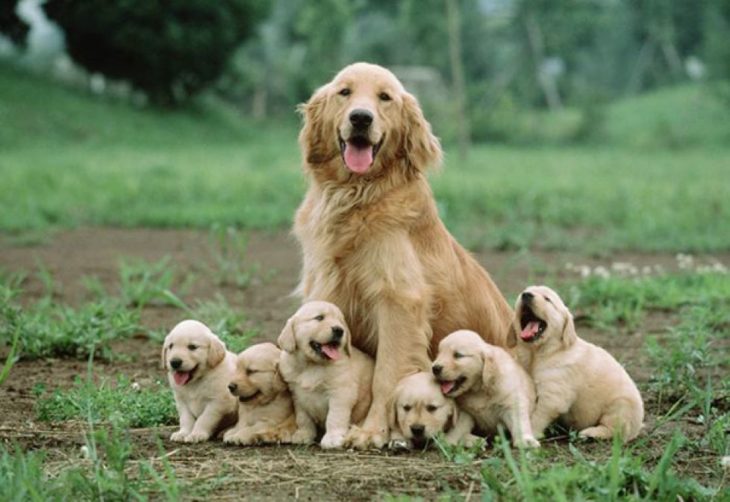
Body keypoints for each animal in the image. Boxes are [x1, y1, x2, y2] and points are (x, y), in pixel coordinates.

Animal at [276, 300, 372, 450]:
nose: (339, 330)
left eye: (341, 321)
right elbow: (303, 418)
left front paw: (332, 438)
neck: (311, 365)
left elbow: (335, 417)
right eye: (319, 317)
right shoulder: (297, 395)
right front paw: (304, 434)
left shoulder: (341, 393)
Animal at [292, 61, 510, 448]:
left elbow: (388, 374)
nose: (361, 118)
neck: (356, 195)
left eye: (385, 97)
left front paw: (372, 431)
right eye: (344, 92)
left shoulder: (398, 302)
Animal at [506, 284, 644, 442]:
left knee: (613, 430)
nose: (526, 295)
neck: (538, 354)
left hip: (621, 407)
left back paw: (590, 433)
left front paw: (529, 435)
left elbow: (537, 417)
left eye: (547, 299)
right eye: (522, 293)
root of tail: (638, 427)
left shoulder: (553, 395)